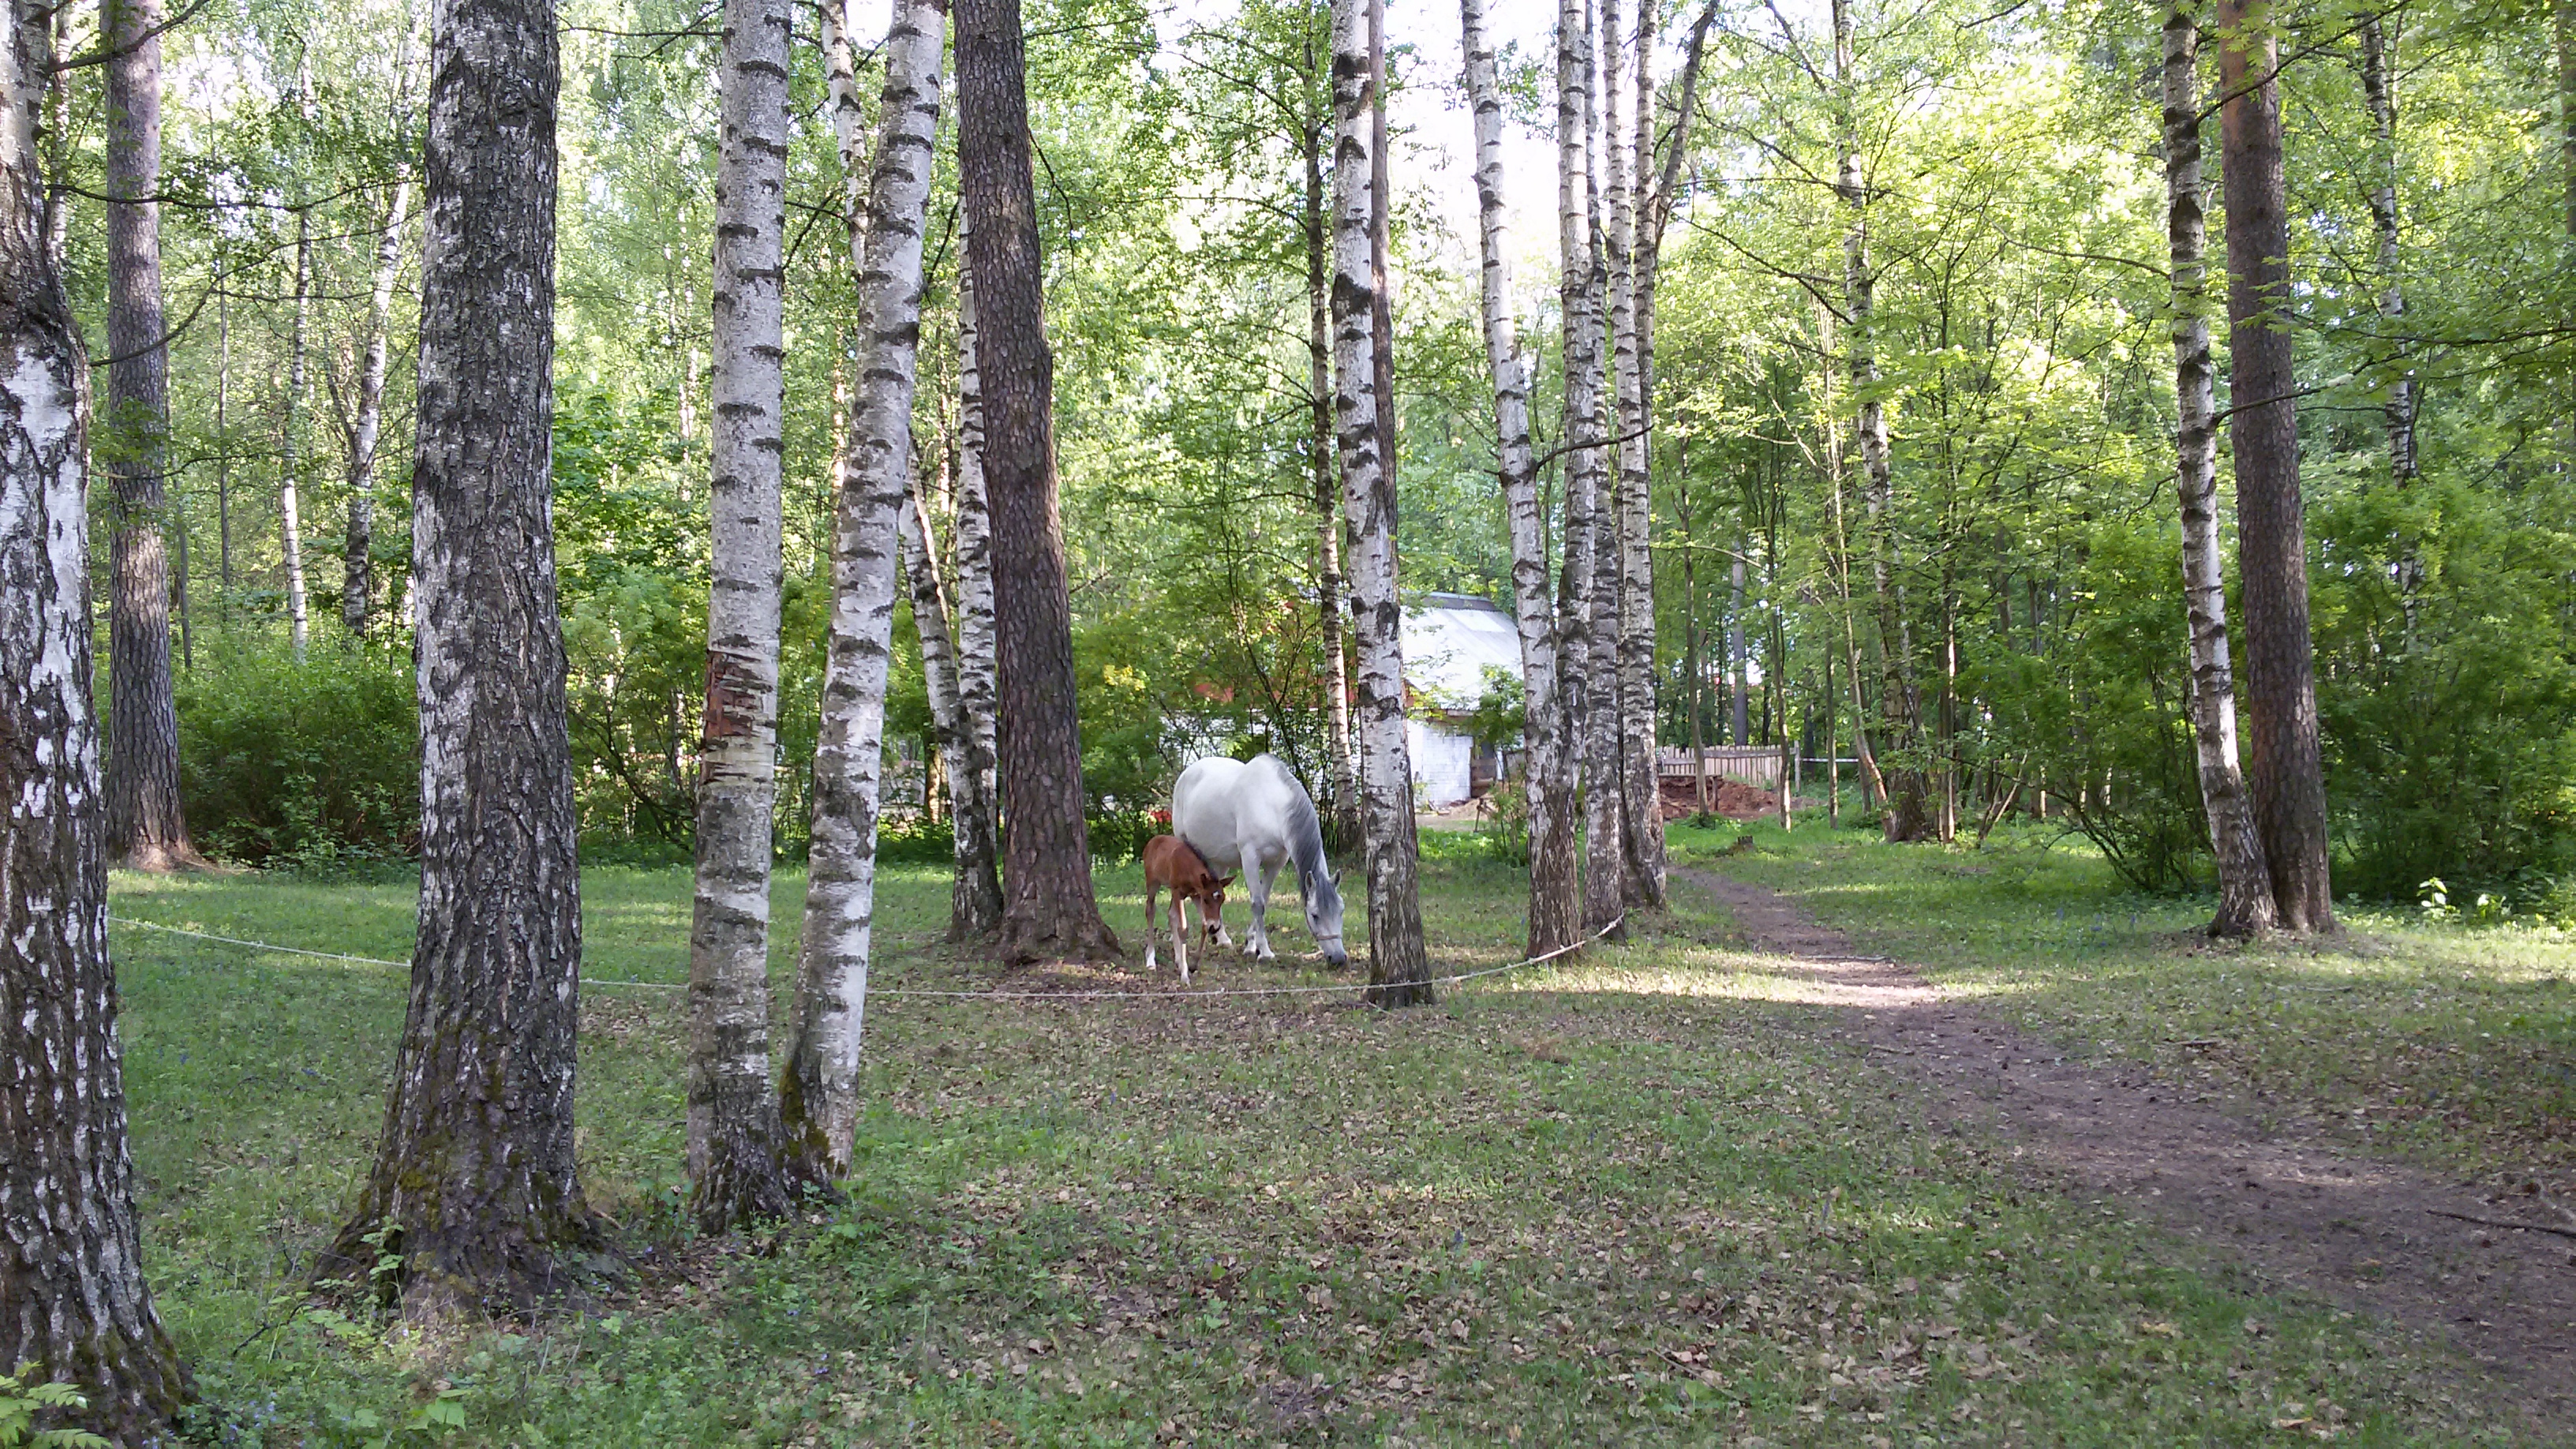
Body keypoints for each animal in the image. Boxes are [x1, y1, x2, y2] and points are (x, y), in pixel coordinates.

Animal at [1169, 747, 1350, 964]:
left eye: (1341, 910)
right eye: (1315, 915)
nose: (1338, 958)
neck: (1271, 806)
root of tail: (1186, 774)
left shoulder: (1276, 864)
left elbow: (1264, 899)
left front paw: (1251, 945)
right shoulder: (1250, 858)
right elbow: (1257, 904)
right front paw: (1264, 951)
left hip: (1219, 861)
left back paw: (1221, 937)